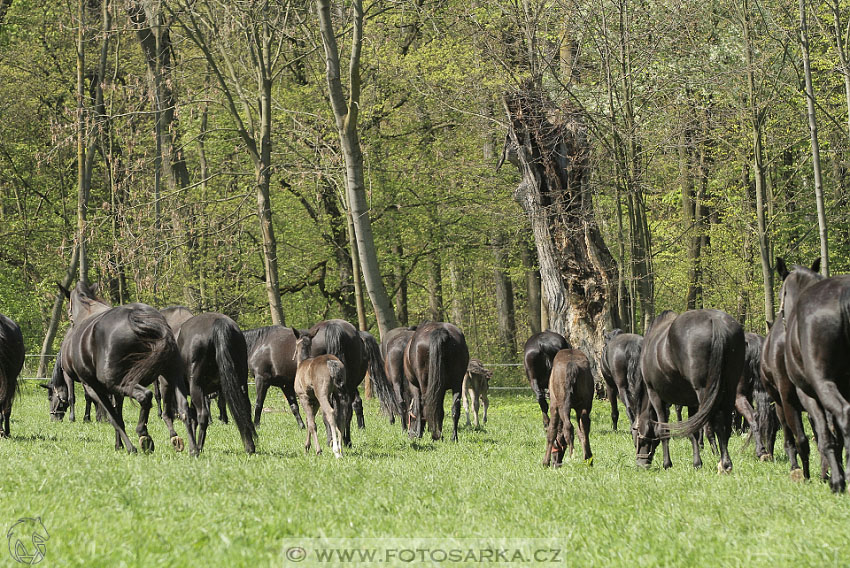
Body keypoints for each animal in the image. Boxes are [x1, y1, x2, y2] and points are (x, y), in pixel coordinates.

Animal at [49, 282, 195, 454]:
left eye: (50, 398)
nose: (53, 417)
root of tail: (138, 318)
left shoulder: (94, 387)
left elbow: (114, 417)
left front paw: (128, 447)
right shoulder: (115, 392)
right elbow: (118, 414)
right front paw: (118, 445)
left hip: (120, 382)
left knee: (145, 396)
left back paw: (143, 436)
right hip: (171, 377)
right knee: (184, 410)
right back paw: (191, 447)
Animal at [177, 312, 256, 454]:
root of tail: (219, 322)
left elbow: (189, 416)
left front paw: (193, 448)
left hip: (196, 386)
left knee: (202, 415)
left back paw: (198, 448)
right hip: (240, 383)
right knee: (245, 409)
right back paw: (250, 446)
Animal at [294, 328, 342, 458]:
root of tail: (331, 363)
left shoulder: (303, 396)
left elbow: (311, 423)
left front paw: (318, 450)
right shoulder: (314, 400)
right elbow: (309, 420)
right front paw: (307, 446)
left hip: (322, 394)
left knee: (330, 412)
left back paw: (336, 450)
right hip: (340, 392)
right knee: (341, 414)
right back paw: (341, 447)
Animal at [628, 308, 744, 472]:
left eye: (635, 433)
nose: (641, 463)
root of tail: (716, 321)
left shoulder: (655, 395)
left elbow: (663, 428)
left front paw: (667, 463)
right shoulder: (691, 401)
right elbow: (693, 431)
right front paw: (697, 463)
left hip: (705, 392)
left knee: (716, 423)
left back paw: (723, 464)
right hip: (729, 390)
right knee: (725, 425)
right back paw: (725, 463)